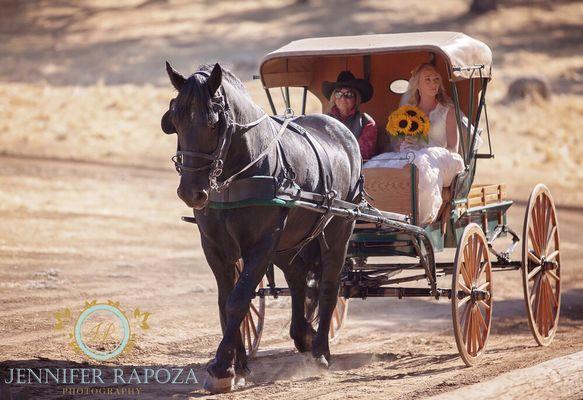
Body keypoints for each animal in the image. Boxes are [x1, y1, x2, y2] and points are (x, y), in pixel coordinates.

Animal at [160, 62, 360, 394]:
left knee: (329, 285)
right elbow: (227, 301)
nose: (191, 192)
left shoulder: (262, 243)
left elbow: (238, 300)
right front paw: (237, 365)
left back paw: (320, 351)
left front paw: (221, 368)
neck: (237, 174)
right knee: (297, 277)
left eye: (213, 123)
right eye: (174, 121)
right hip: (289, 241)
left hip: (338, 228)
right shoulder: (214, 246)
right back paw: (303, 335)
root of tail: (341, 130)